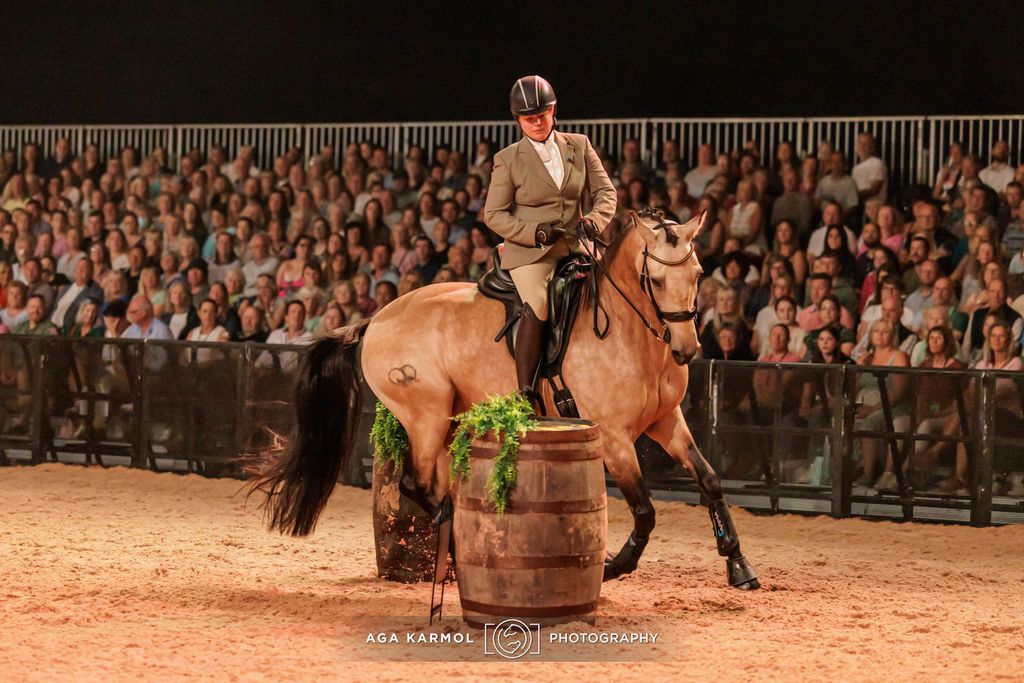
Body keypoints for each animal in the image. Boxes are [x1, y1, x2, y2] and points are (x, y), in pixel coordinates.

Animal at [250, 210, 757, 589]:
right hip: (426, 417)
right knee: (419, 485)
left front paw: (739, 566)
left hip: (449, 418)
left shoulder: (667, 422)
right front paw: (615, 566)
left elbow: (710, 481)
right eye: (655, 278)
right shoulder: (613, 439)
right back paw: (460, 557)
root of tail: (374, 319)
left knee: (436, 486)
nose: (686, 349)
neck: (629, 332)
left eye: (698, 273)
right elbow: (646, 511)